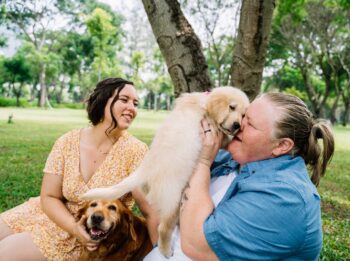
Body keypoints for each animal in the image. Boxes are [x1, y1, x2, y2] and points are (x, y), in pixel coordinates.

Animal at [82, 86, 249, 256]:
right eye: (232, 107)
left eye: (243, 115)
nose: (237, 125)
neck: (204, 105)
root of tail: (146, 169)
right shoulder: (213, 129)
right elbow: (227, 140)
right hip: (172, 200)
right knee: (163, 228)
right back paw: (165, 251)